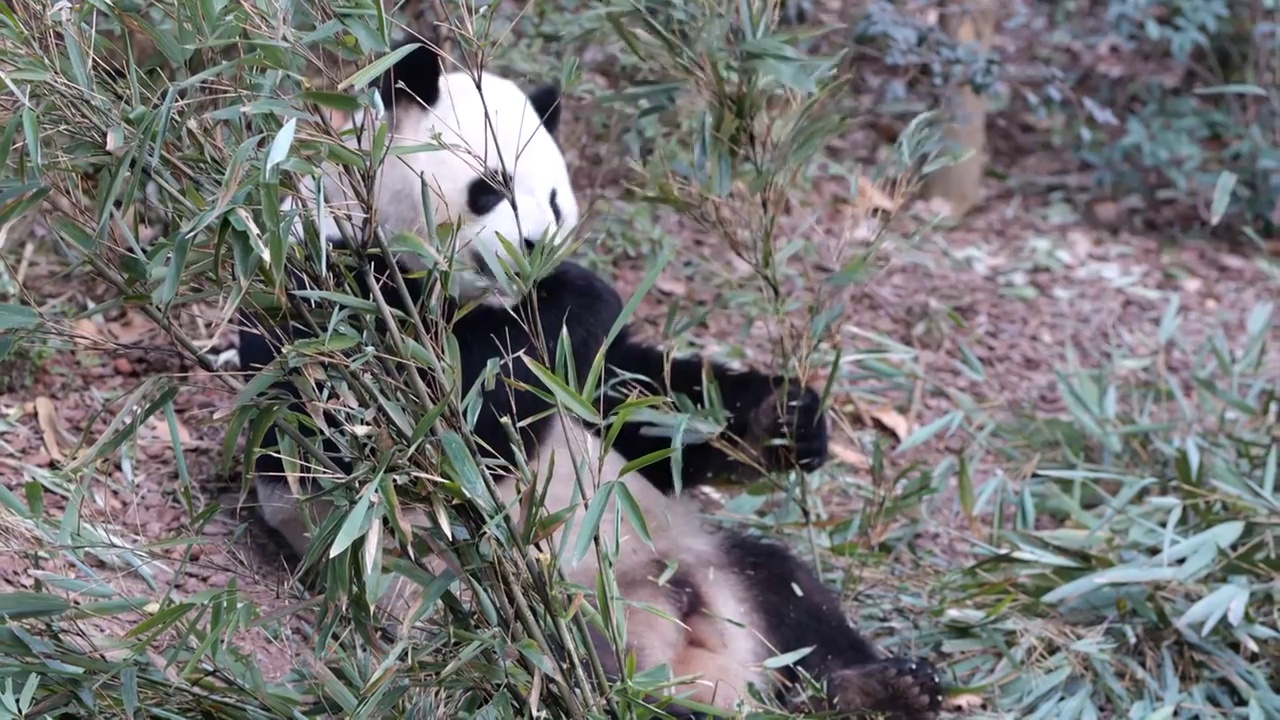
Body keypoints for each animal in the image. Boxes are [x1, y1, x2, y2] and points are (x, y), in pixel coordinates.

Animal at [235, 40, 947, 717]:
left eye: (553, 199)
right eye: (490, 186)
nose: (534, 247)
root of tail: (706, 670)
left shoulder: (582, 374)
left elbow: (639, 406)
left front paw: (787, 419)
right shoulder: (324, 293)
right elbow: (422, 435)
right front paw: (577, 292)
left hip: (704, 559)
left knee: (789, 594)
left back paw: (879, 685)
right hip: (500, 617)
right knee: (585, 683)